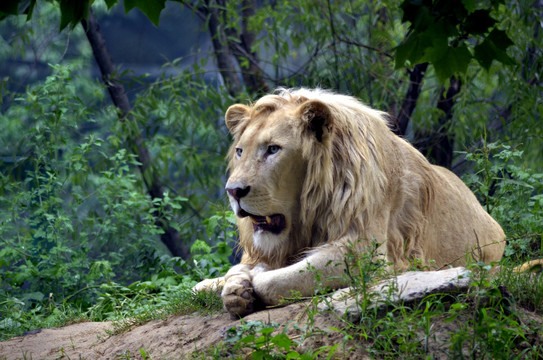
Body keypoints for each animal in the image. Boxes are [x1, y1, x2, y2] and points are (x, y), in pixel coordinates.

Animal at [194, 88, 506, 316]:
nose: (233, 191)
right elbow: (220, 278)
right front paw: (235, 286)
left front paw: (251, 280)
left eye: (273, 149)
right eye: (239, 151)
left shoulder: (364, 251)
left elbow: (278, 278)